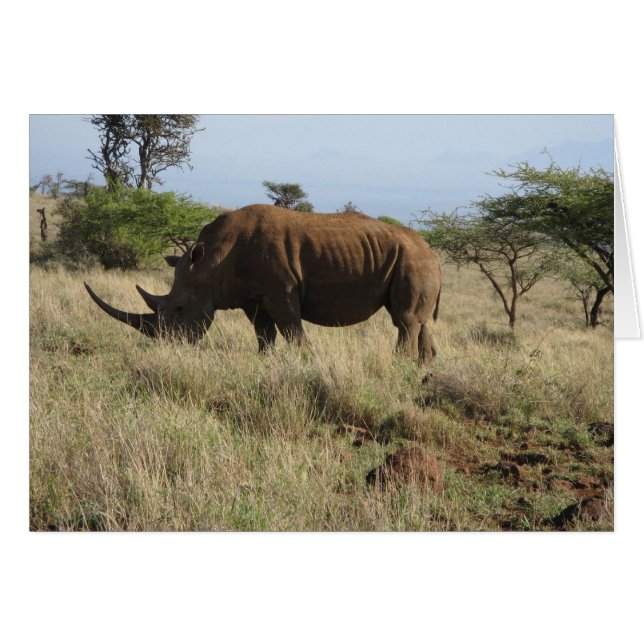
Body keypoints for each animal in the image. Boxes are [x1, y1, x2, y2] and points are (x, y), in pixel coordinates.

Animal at [85, 204, 442, 362]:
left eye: (180, 308)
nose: (169, 345)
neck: (211, 261)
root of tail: (433, 250)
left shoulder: (279, 290)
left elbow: (292, 329)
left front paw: (304, 361)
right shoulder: (251, 295)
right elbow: (264, 332)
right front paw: (264, 361)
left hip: (411, 258)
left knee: (404, 320)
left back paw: (399, 365)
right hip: (411, 258)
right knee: (419, 321)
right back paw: (421, 369)